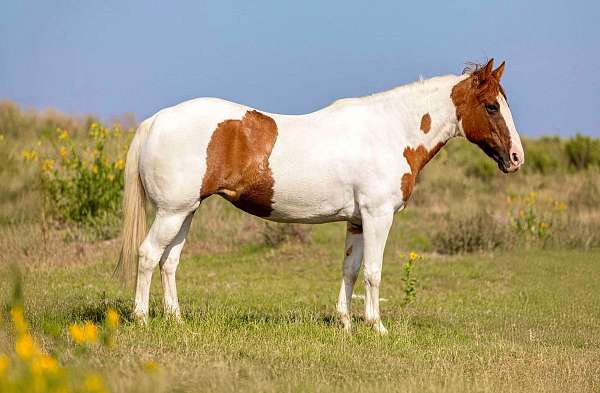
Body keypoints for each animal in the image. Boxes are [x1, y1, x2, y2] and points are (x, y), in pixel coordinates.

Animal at [115, 59, 524, 334]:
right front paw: (377, 327)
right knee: (148, 255)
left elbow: (350, 270)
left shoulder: (357, 221)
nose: (516, 157)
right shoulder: (377, 216)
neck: (390, 132)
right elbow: (373, 272)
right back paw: (141, 318)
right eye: (491, 106)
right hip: (171, 212)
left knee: (169, 262)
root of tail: (156, 120)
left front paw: (345, 324)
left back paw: (176, 319)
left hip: (185, 212)